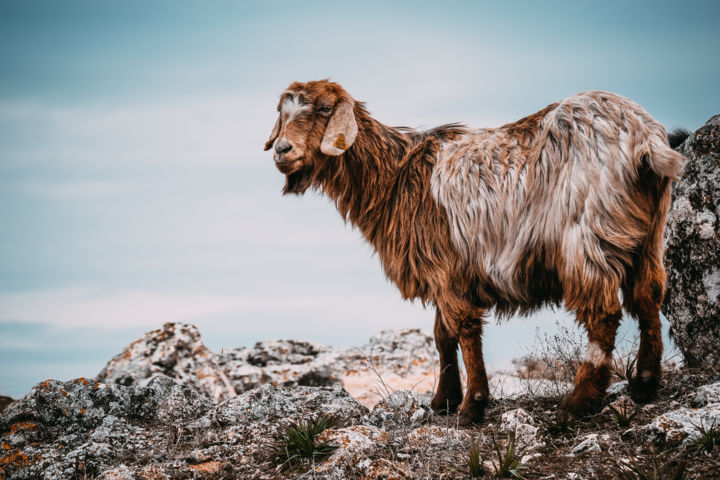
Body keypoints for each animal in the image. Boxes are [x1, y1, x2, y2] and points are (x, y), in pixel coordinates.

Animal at [262, 79, 688, 424]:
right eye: (282, 113)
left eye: (323, 109)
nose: (281, 150)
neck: (396, 176)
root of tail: (644, 138)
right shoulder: (439, 271)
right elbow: (441, 335)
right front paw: (444, 400)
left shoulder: (447, 268)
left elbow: (464, 329)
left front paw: (472, 406)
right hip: (648, 236)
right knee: (647, 296)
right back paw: (645, 383)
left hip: (586, 239)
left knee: (603, 313)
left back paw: (579, 401)